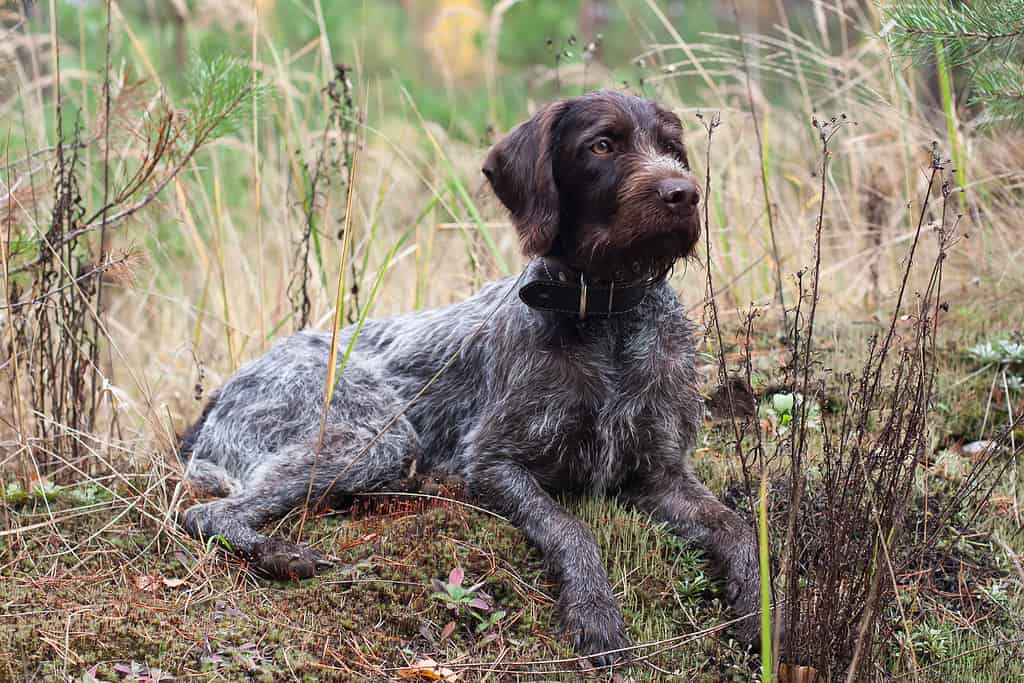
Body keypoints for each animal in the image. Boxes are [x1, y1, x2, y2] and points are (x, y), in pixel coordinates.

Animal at [178, 88, 770, 663]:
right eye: (602, 145)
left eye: (672, 147)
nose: (683, 194)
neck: (604, 314)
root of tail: (224, 391)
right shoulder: (490, 462)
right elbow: (570, 527)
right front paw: (594, 609)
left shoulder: (660, 472)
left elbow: (737, 528)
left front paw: (757, 606)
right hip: (374, 436)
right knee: (205, 514)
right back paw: (279, 552)